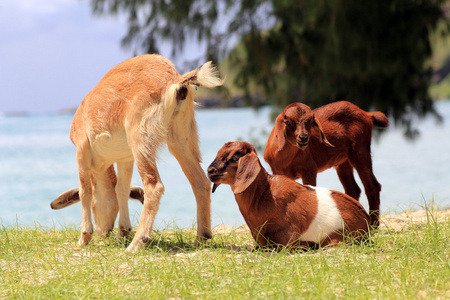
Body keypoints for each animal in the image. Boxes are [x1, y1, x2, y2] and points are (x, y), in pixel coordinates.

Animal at [53, 54, 224, 253]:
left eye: (95, 207)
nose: (103, 232)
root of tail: (175, 79)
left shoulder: (82, 149)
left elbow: (84, 191)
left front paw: (84, 238)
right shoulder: (126, 158)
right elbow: (121, 189)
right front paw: (123, 232)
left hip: (141, 138)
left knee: (154, 185)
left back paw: (137, 243)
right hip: (179, 137)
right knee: (200, 182)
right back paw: (201, 238)